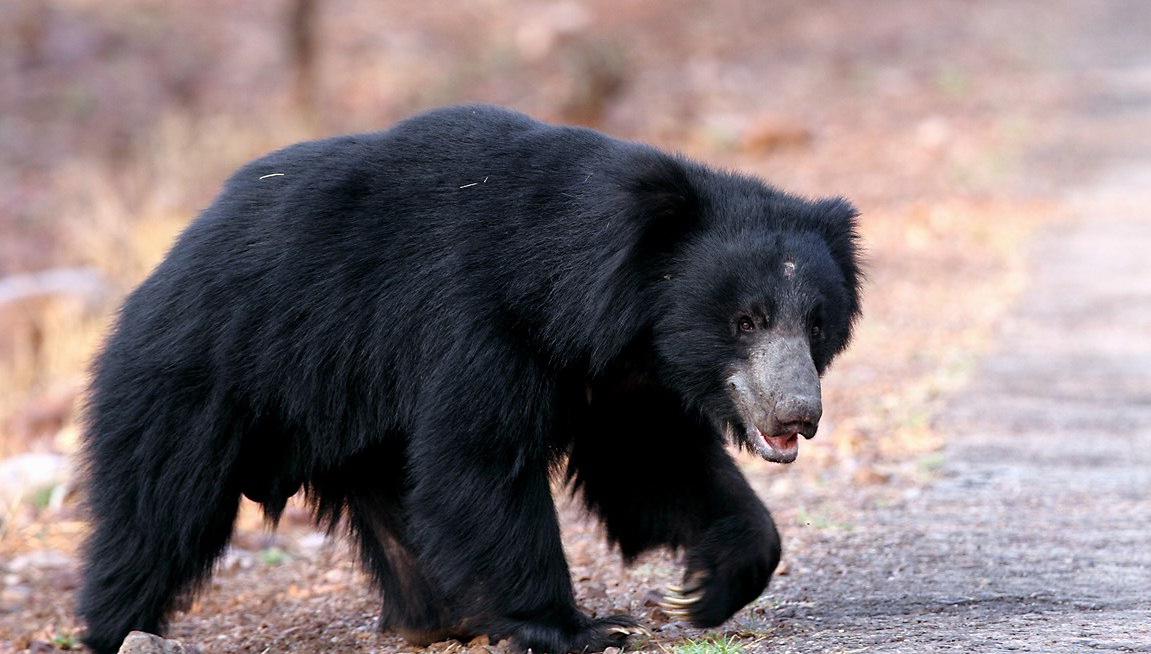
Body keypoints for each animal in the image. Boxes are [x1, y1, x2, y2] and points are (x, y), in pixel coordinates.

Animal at [76, 104, 860, 649]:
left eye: (816, 324)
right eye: (746, 321)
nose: (798, 415)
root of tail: (159, 272)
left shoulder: (624, 378)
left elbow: (651, 466)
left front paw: (701, 587)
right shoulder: (476, 323)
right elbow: (478, 464)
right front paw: (579, 628)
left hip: (355, 423)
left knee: (396, 512)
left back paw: (435, 620)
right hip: (199, 381)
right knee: (157, 514)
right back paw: (116, 628)